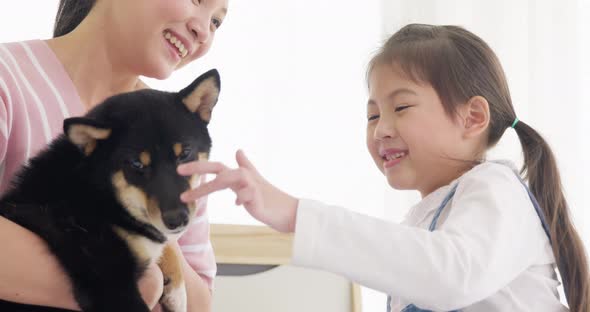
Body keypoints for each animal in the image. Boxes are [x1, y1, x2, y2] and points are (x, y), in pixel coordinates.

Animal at [0, 69, 222, 310]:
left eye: (185, 153)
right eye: (136, 164)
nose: (177, 219)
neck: (93, 193)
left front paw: (177, 292)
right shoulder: (105, 276)